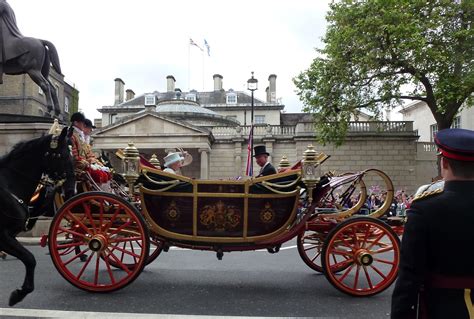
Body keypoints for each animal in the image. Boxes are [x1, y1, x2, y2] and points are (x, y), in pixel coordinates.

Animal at [0, 127, 72, 308]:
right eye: (62, 155)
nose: (70, 189)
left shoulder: (9, 236)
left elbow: (29, 259)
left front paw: (19, 293)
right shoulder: (3, 236)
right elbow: (30, 259)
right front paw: (19, 293)